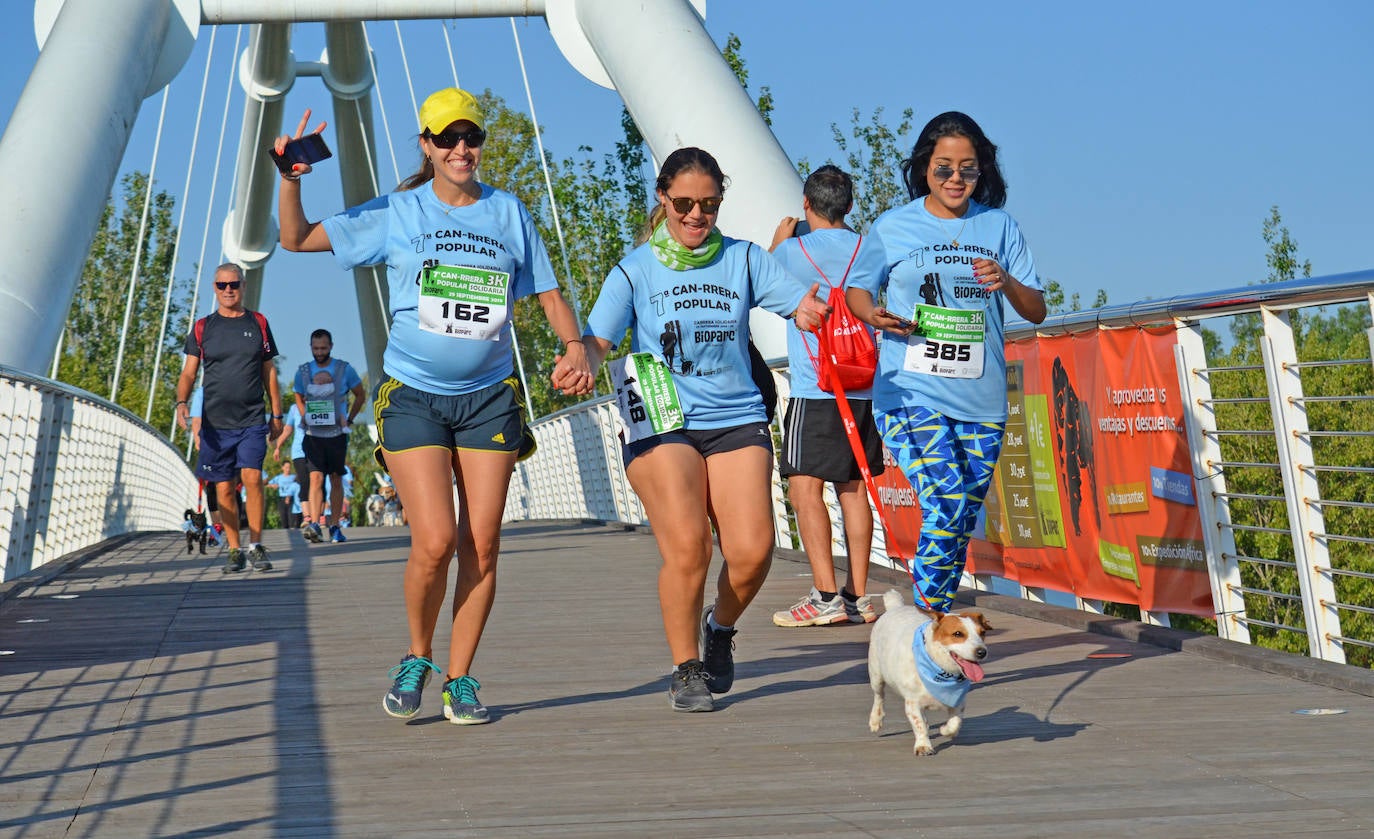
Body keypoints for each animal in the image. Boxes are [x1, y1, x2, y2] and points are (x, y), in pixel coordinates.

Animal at [868, 587, 989, 757]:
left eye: (982, 632)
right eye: (958, 634)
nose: (982, 652)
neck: (940, 670)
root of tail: (896, 607)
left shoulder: (959, 701)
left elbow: (955, 722)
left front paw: (946, 730)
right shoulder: (912, 703)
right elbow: (919, 725)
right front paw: (923, 745)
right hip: (876, 676)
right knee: (879, 697)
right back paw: (875, 719)